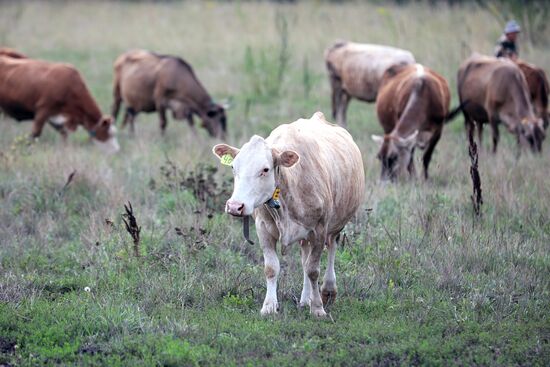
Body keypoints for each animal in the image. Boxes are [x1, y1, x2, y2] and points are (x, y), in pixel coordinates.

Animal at [212, 112, 366, 320]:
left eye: (265, 169)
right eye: (233, 168)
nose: (235, 206)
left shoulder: (319, 229)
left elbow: (313, 269)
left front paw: (318, 308)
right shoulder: (263, 228)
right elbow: (272, 268)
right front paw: (269, 306)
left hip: (336, 225)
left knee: (331, 249)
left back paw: (327, 291)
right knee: (304, 257)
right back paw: (305, 298)